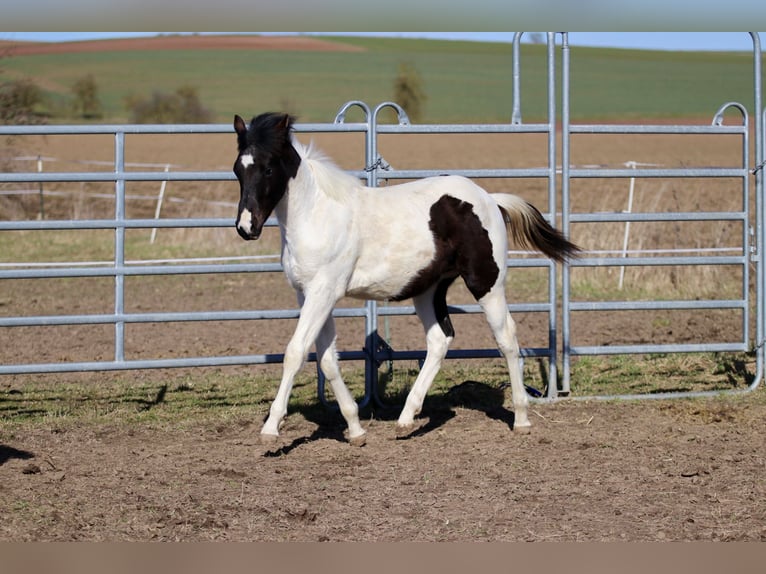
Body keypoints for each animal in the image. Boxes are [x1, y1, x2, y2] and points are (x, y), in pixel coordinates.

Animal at [233, 112, 578, 446]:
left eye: (268, 169)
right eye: (238, 169)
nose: (246, 228)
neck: (318, 215)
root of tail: (489, 199)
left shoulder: (324, 291)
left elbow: (296, 351)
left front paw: (271, 429)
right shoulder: (309, 294)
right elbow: (327, 358)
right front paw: (356, 429)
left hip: (486, 284)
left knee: (506, 337)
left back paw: (521, 419)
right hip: (428, 290)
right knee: (440, 339)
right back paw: (406, 419)